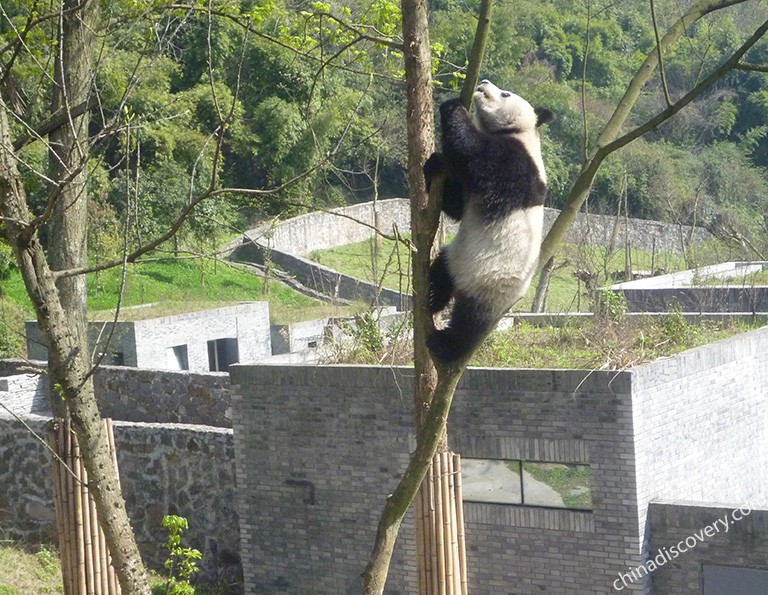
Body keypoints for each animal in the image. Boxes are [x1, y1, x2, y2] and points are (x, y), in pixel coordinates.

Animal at [424, 79, 556, 364]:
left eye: (505, 93)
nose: (483, 82)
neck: (520, 132)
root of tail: (462, 287)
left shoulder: (518, 164)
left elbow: (476, 152)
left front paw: (453, 106)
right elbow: (457, 208)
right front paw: (435, 163)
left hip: (492, 285)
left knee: (469, 324)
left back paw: (444, 346)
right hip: (455, 257)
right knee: (441, 270)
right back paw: (433, 297)